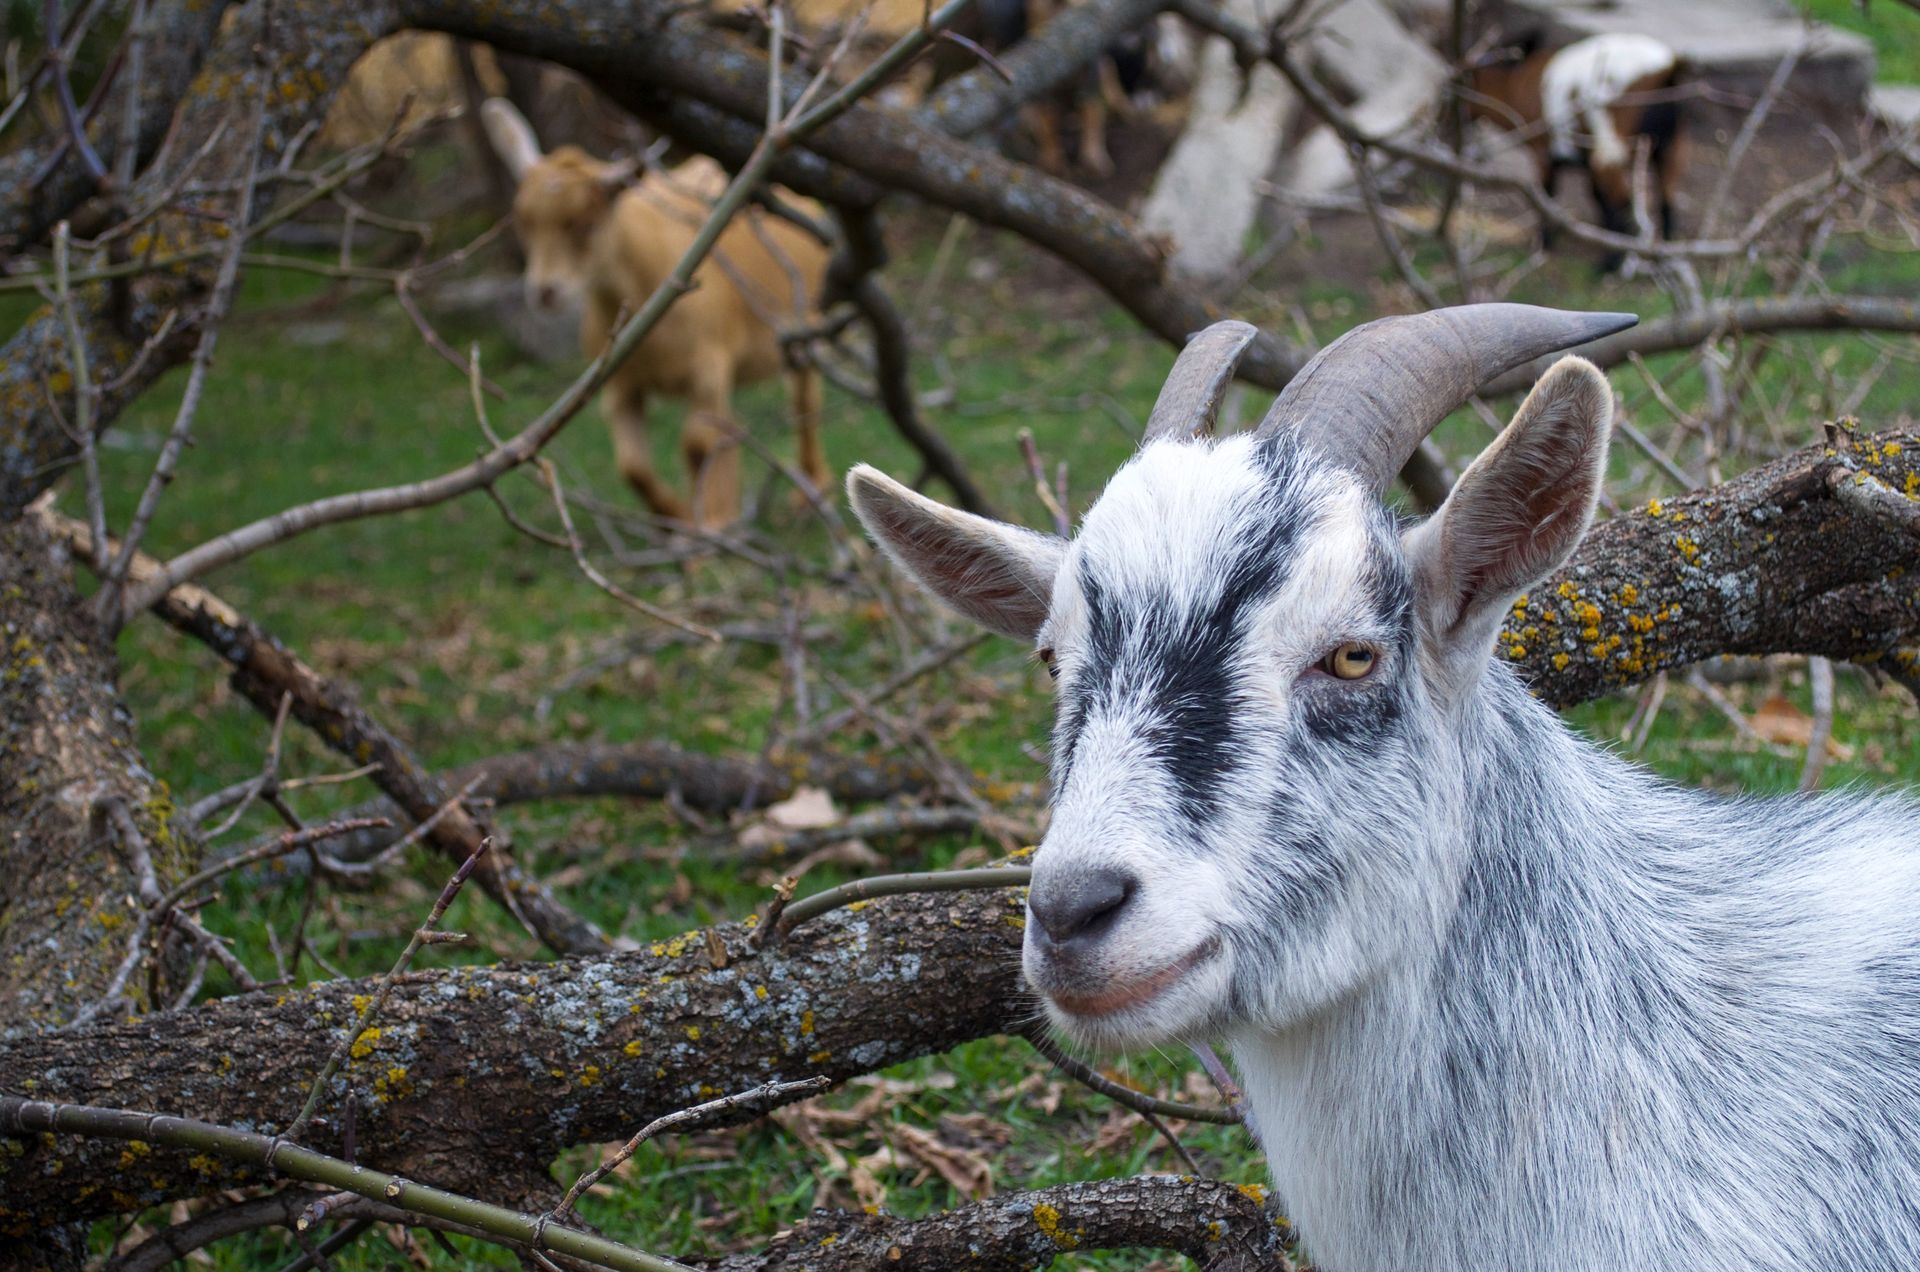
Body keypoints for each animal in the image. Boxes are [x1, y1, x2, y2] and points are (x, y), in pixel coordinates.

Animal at [481, 99, 831, 528]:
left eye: (585, 223)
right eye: (523, 222)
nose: (546, 292)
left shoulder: (708, 366)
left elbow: (696, 441)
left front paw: (708, 523)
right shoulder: (619, 384)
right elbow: (632, 465)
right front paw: (684, 518)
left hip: (804, 325)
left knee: (803, 402)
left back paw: (808, 492)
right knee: (733, 424)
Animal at [1467, 32, 1685, 271]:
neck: (1515, 83)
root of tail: (1666, 69)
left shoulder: (1542, 151)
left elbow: (1548, 194)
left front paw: (1544, 244)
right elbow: (1596, 197)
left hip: (1609, 142)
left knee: (1621, 198)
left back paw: (1611, 263)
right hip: (1670, 145)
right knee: (1666, 196)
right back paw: (1665, 253)